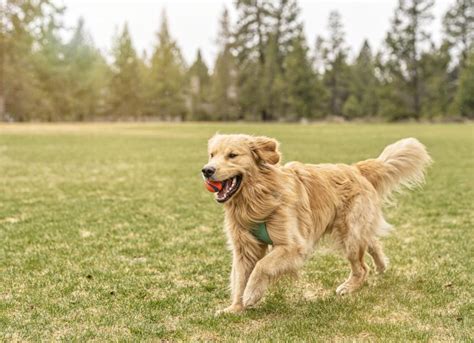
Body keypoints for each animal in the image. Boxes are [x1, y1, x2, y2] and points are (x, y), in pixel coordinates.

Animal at [202, 134, 432, 314]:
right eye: (212, 155)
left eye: (232, 155)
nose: (207, 170)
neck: (257, 199)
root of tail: (355, 169)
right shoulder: (244, 248)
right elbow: (240, 278)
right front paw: (235, 307)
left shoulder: (293, 246)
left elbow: (262, 266)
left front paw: (251, 294)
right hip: (354, 231)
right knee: (372, 242)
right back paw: (382, 265)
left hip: (350, 235)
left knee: (361, 267)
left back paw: (349, 287)